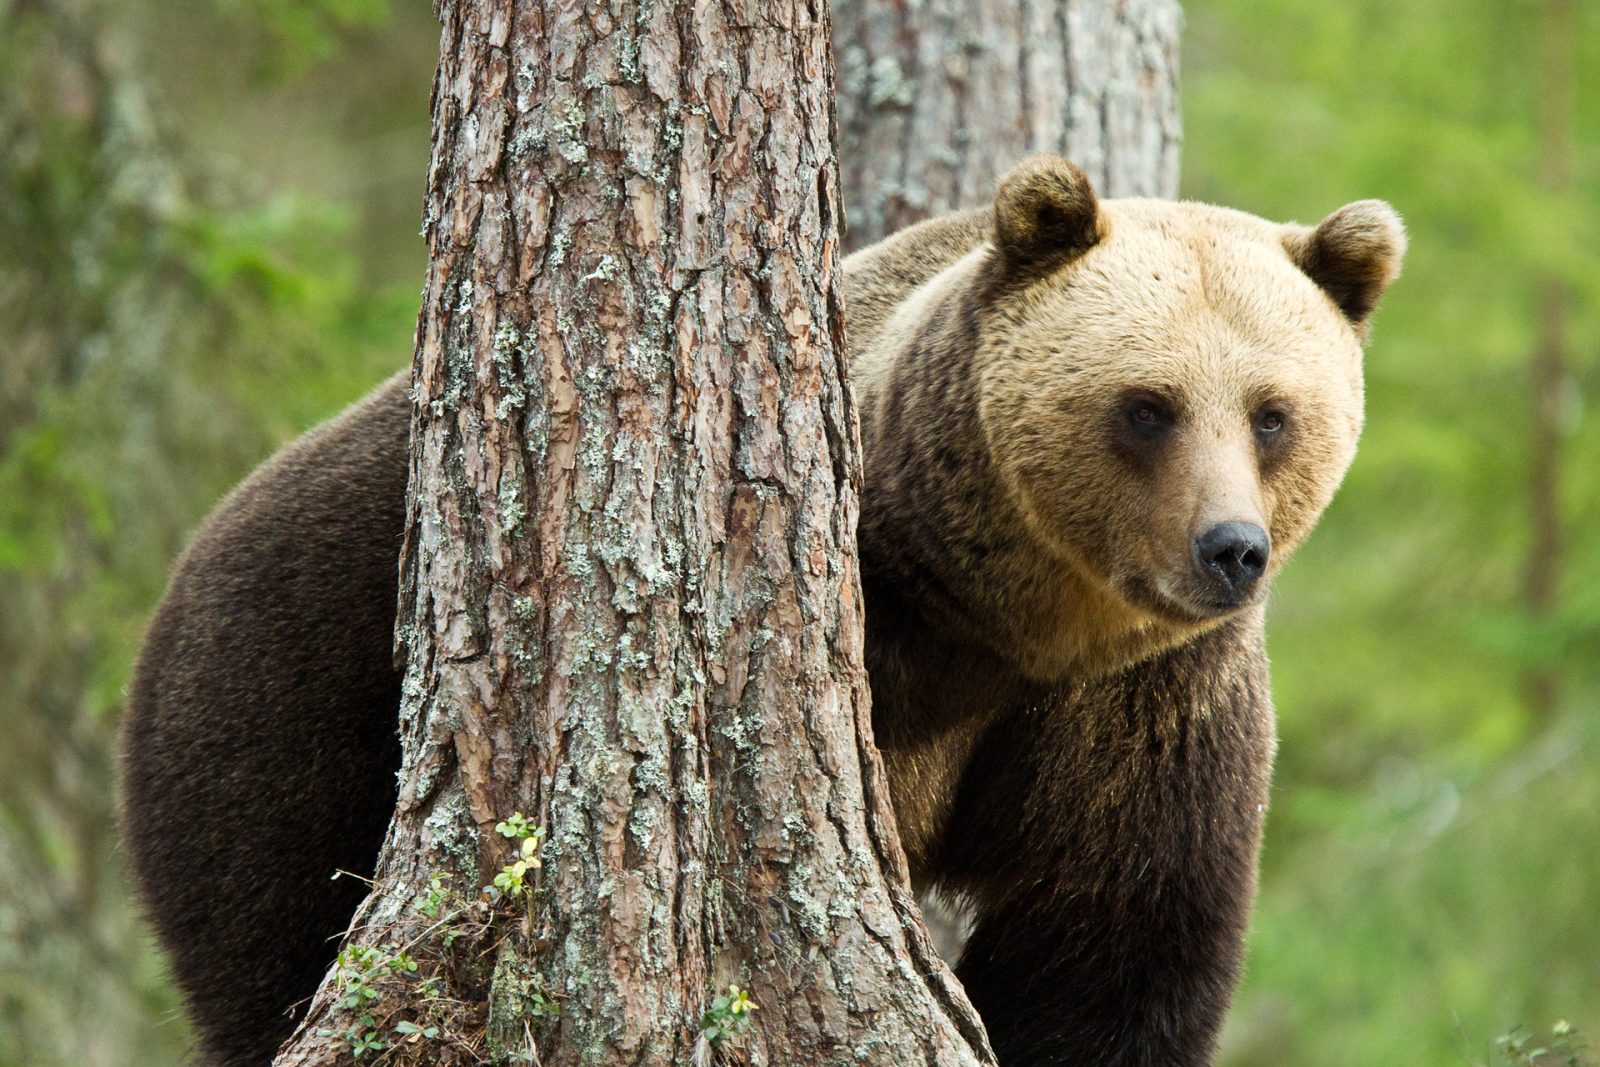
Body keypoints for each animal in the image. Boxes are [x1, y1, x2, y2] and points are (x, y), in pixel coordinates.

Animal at [121, 151, 1401, 1067]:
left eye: (1273, 412)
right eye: (1148, 405)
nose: (1227, 549)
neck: (1000, 618)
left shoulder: (1134, 703)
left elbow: (1116, 935)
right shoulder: (881, 630)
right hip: (282, 688)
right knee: (262, 911)